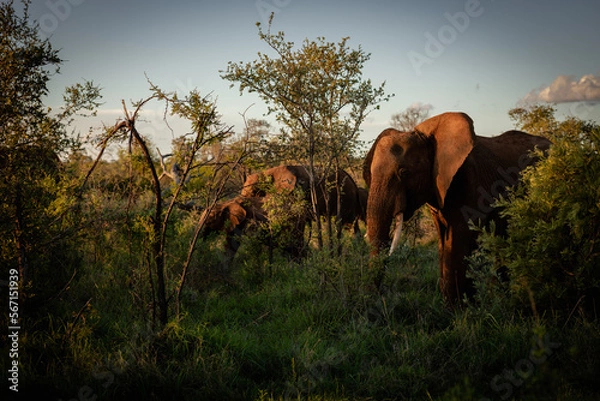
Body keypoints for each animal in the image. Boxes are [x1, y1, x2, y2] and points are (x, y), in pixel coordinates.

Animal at [364, 111, 552, 304]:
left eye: (404, 172)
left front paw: (459, 308)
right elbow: (443, 238)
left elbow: (457, 239)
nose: (375, 298)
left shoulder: (469, 182)